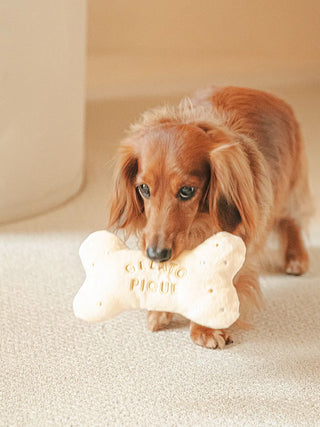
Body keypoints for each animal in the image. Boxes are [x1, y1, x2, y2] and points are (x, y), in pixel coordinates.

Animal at [107, 85, 312, 350]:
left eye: (187, 191)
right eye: (143, 188)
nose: (156, 254)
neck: (198, 224)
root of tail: (270, 96)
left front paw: (206, 328)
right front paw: (160, 308)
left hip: (289, 186)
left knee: (292, 220)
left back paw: (296, 256)